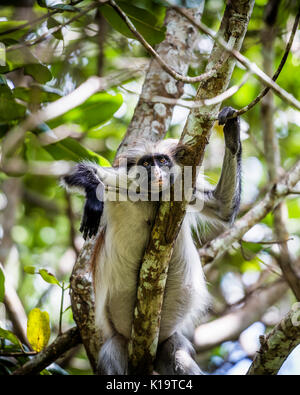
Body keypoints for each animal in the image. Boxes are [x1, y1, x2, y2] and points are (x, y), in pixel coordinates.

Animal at [62, 106, 241, 376]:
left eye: (163, 161)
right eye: (147, 163)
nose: (157, 172)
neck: (151, 198)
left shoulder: (184, 189)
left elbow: (223, 208)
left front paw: (232, 133)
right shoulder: (123, 184)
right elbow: (74, 173)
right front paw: (93, 196)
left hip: (167, 341)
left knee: (178, 356)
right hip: (119, 340)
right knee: (111, 355)